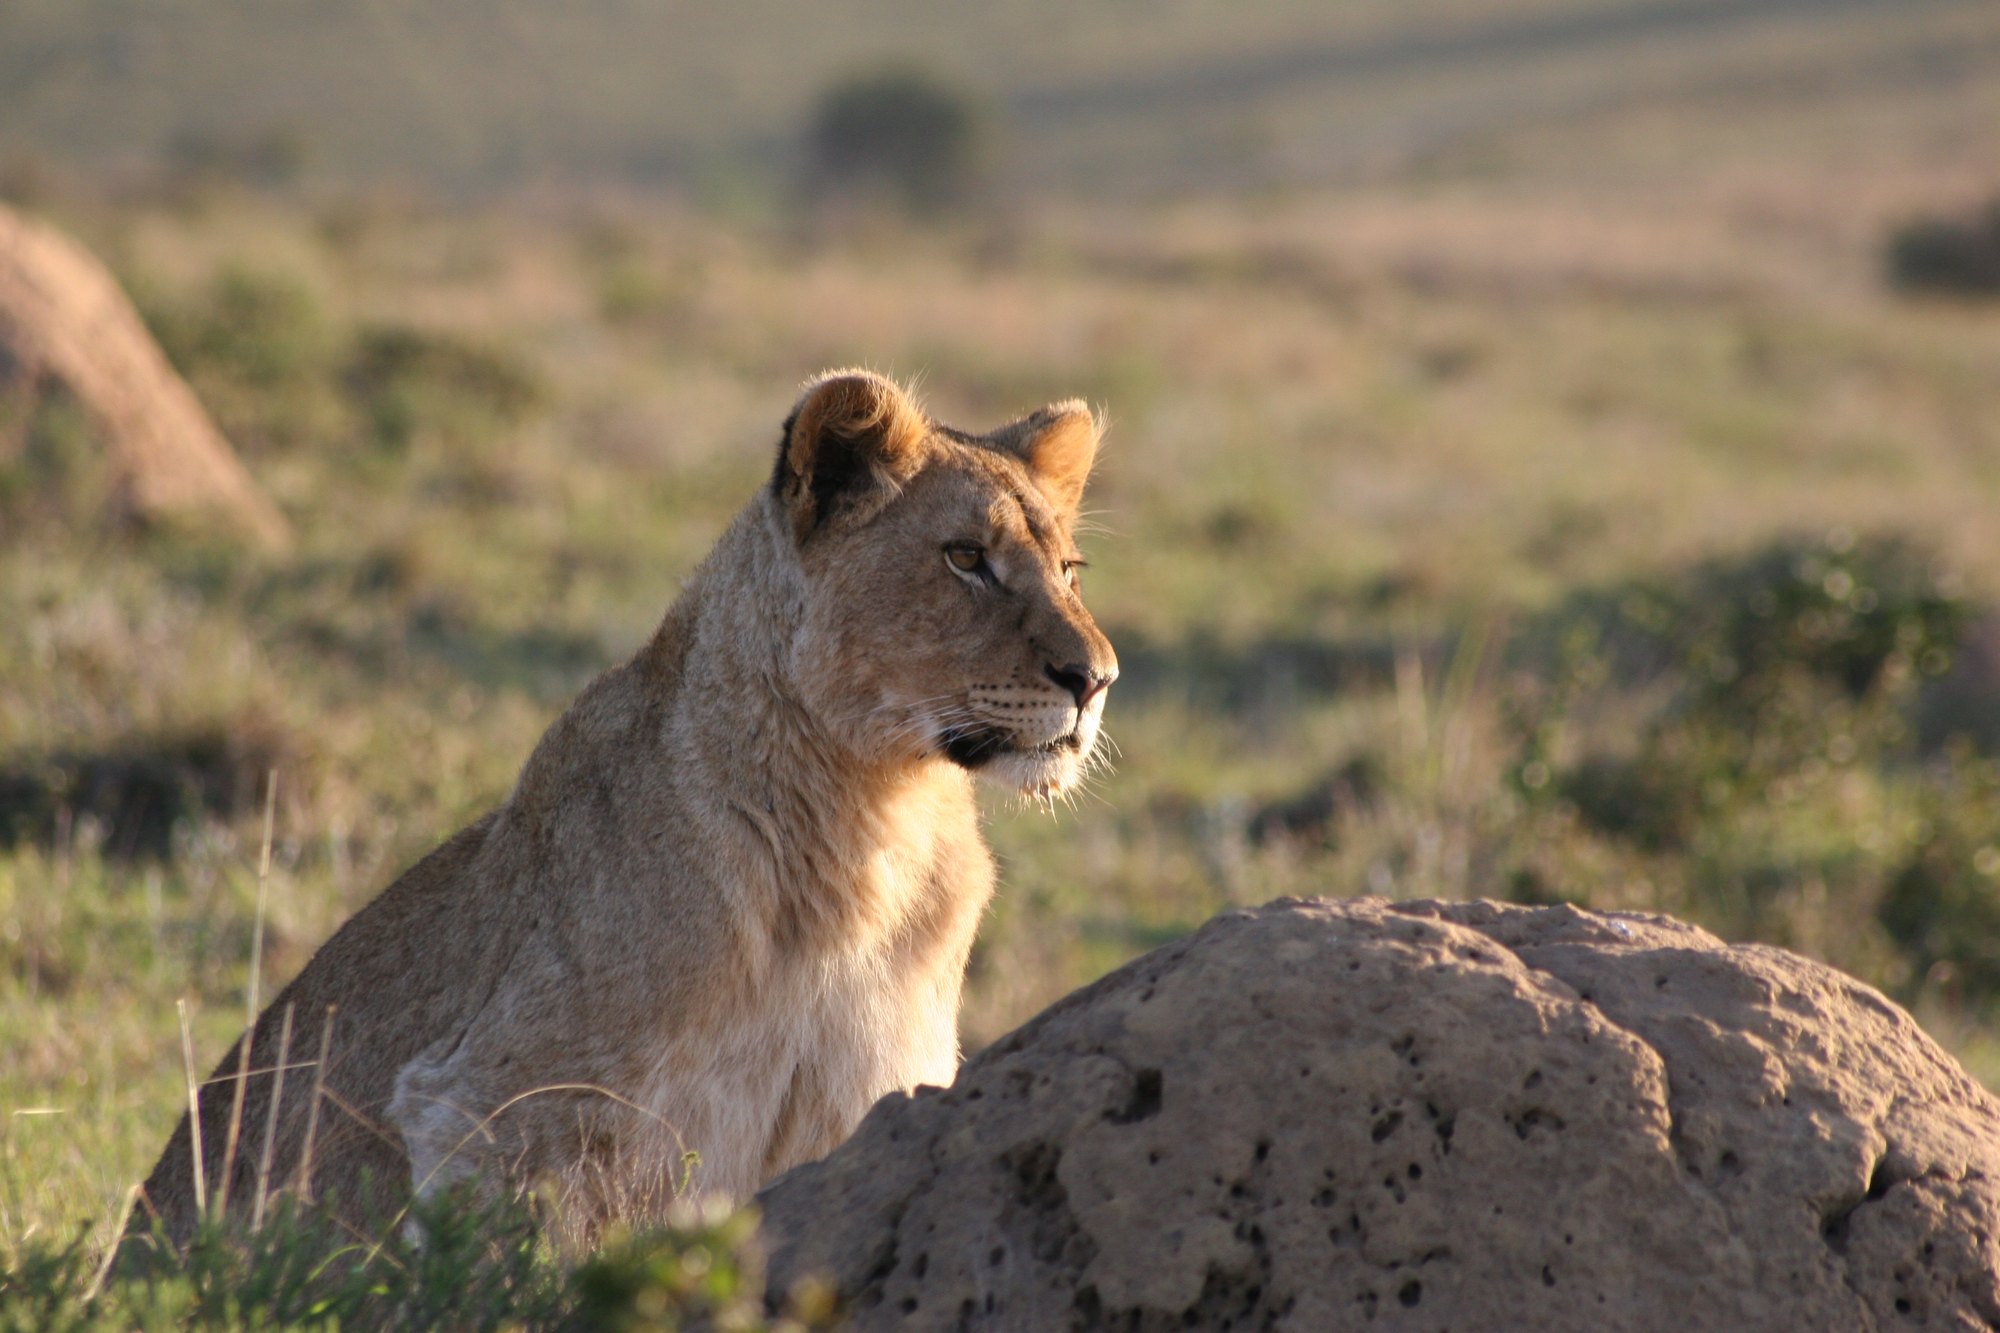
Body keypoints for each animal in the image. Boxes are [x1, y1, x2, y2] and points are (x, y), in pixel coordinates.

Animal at [126, 370, 1117, 1253]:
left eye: (1071, 569)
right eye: (966, 558)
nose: (1096, 678)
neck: (872, 816)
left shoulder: (868, 1093)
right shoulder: (497, 1102)